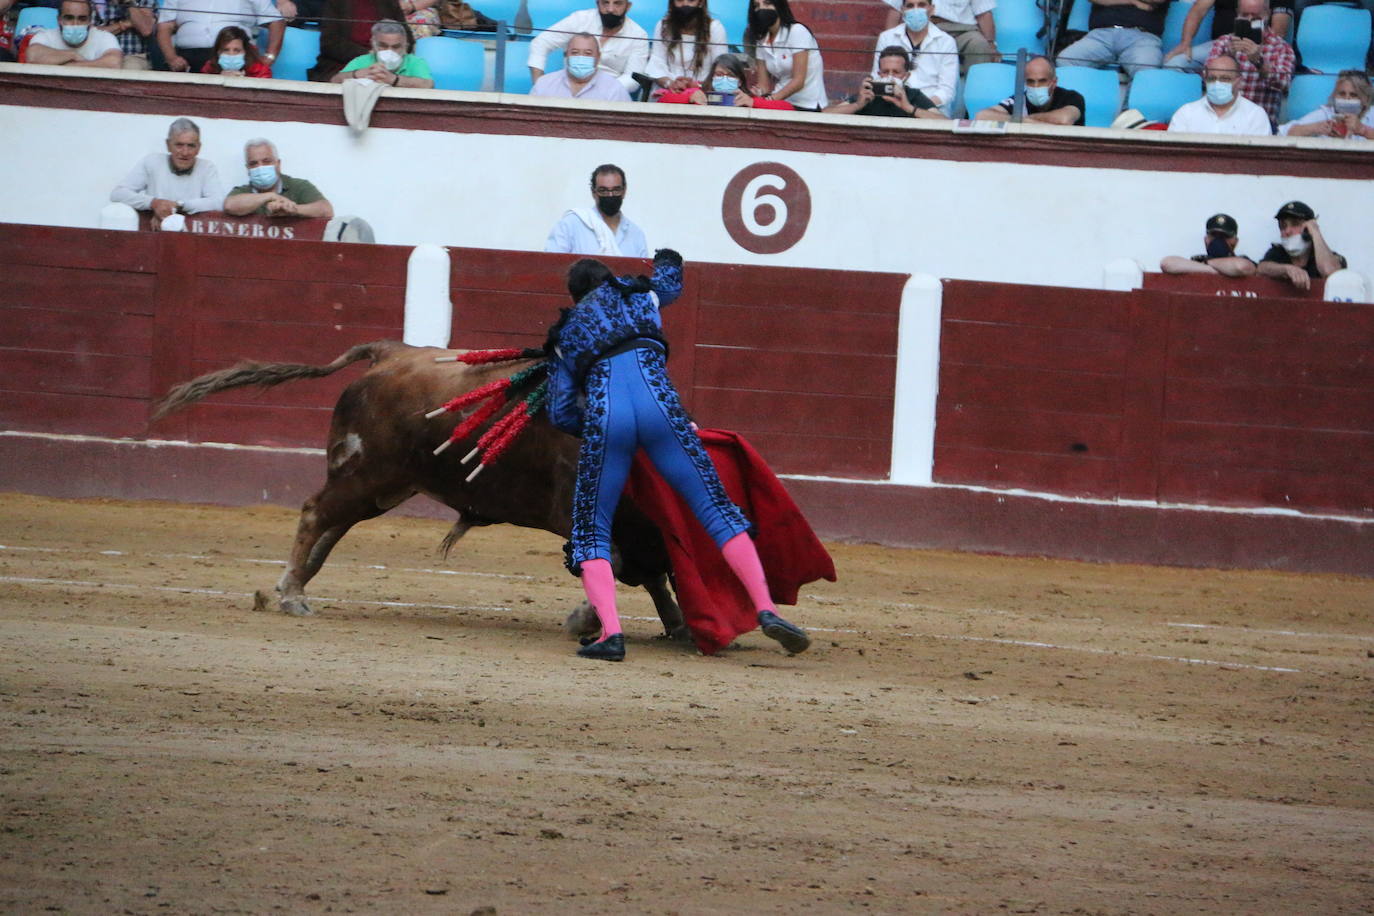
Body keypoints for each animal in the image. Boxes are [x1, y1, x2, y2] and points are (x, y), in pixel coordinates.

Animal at [154, 340, 687, 642]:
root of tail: (391, 353)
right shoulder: (578, 513)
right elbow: (614, 563)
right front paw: (585, 621)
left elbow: (645, 574)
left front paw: (676, 624)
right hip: (367, 474)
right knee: (314, 514)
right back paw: (290, 595)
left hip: (378, 485)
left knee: (331, 526)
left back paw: (295, 585)